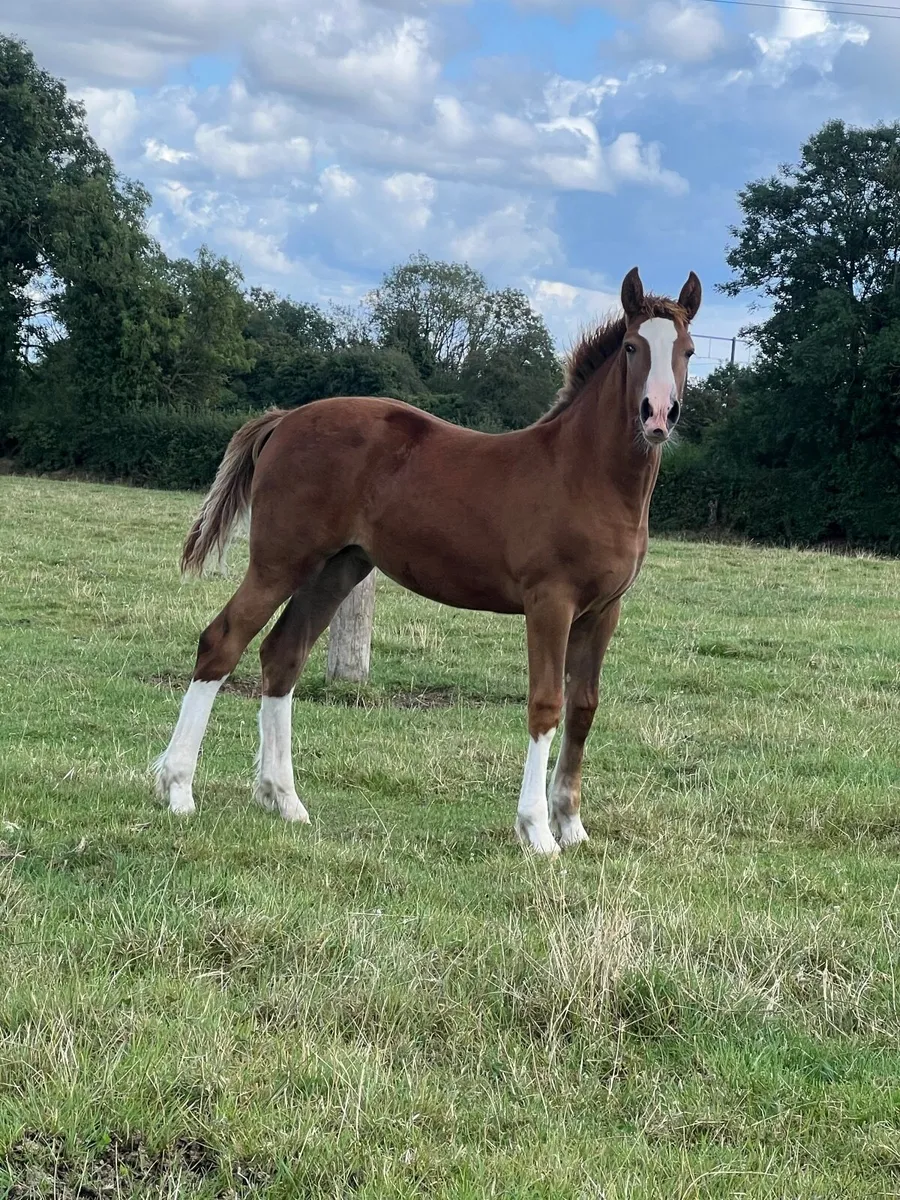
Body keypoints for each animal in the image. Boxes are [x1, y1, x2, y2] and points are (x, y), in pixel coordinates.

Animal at [155, 266, 701, 855]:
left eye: (688, 351)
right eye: (631, 347)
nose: (659, 416)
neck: (587, 477)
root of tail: (286, 419)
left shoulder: (603, 611)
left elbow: (583, 707)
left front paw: (572, 826)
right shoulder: (549, 603)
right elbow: (545, 705)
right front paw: (536, 830)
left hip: (336, 569)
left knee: (283, 656)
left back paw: (285, 800)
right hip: (280, 563)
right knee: (223, 641)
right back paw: (178, 789)